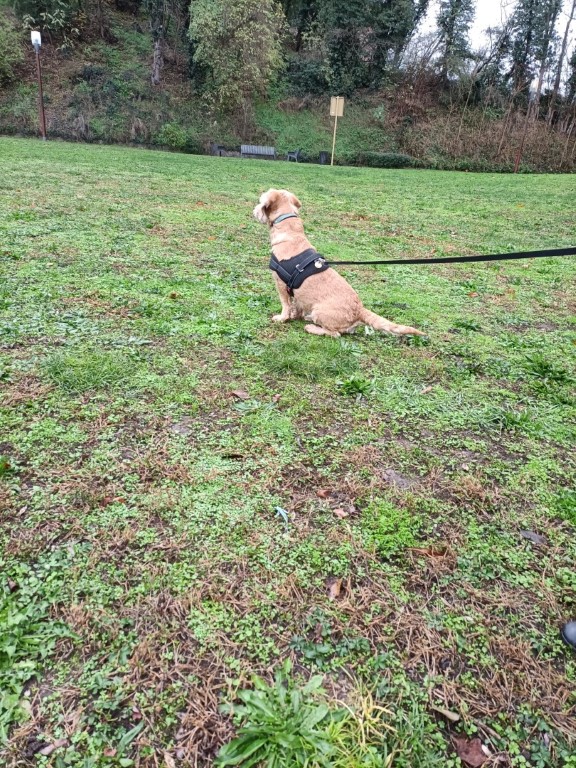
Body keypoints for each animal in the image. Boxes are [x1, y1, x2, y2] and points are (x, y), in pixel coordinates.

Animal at [253, 188, 424, 337]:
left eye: (261, 201)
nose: (253, 211)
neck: (289, 230)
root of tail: (359, 310)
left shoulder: (280, 284)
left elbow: (286, 305)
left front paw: (282, 318)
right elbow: (297, 306)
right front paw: (295, 315)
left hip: (320, 311)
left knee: (334, 334)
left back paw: (312, 328)